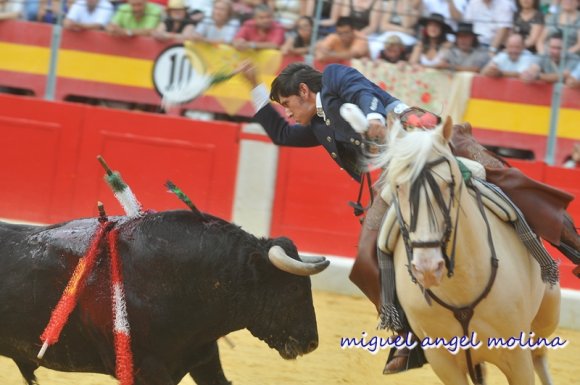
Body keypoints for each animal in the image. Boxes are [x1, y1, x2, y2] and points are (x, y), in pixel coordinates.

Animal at [374, 118, 560, 384]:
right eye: (398, 186)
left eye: (448, 184)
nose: (427, 268)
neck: (460, 285)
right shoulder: (442, 361)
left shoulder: (517, 355)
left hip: (547, 314)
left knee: (540, 355)